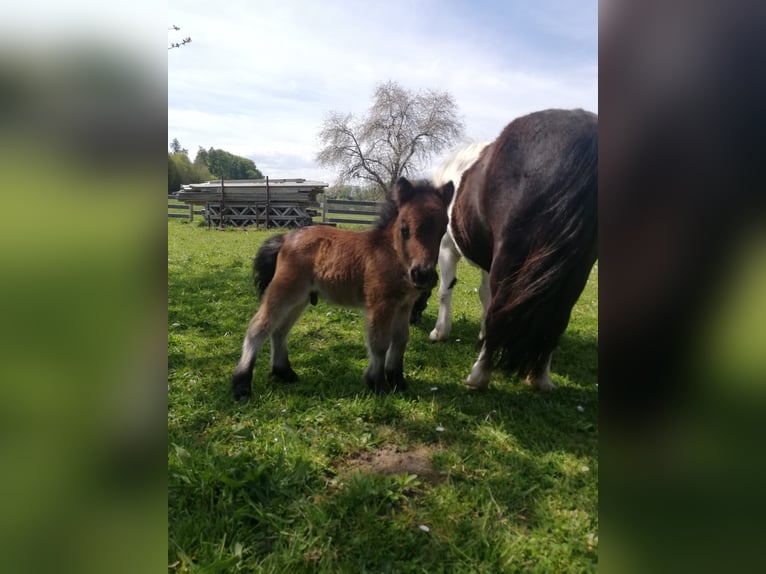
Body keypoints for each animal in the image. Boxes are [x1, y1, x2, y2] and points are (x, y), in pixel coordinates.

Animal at [231, 177, 454, 400]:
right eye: (404, 228)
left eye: (443, 229)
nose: (422, 274)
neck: (391, 255)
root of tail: (285, 238)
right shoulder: (380, 304)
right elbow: (380, 343)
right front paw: (377, 384)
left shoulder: (404, 305)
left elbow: (400, 341)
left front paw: (398, 381)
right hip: (284, 290)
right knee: (258, 327)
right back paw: (241, 385)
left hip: (300, 298)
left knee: (279, 331)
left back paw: (284, 372)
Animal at [425, 109, 598, 391]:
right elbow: (484, 295)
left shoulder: (447, 248)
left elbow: (445, 291)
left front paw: (440, 332)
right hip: (576, 269)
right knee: (557, 318)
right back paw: (541, 377)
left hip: (511, 259)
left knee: (501, 311)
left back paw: (479, 375)